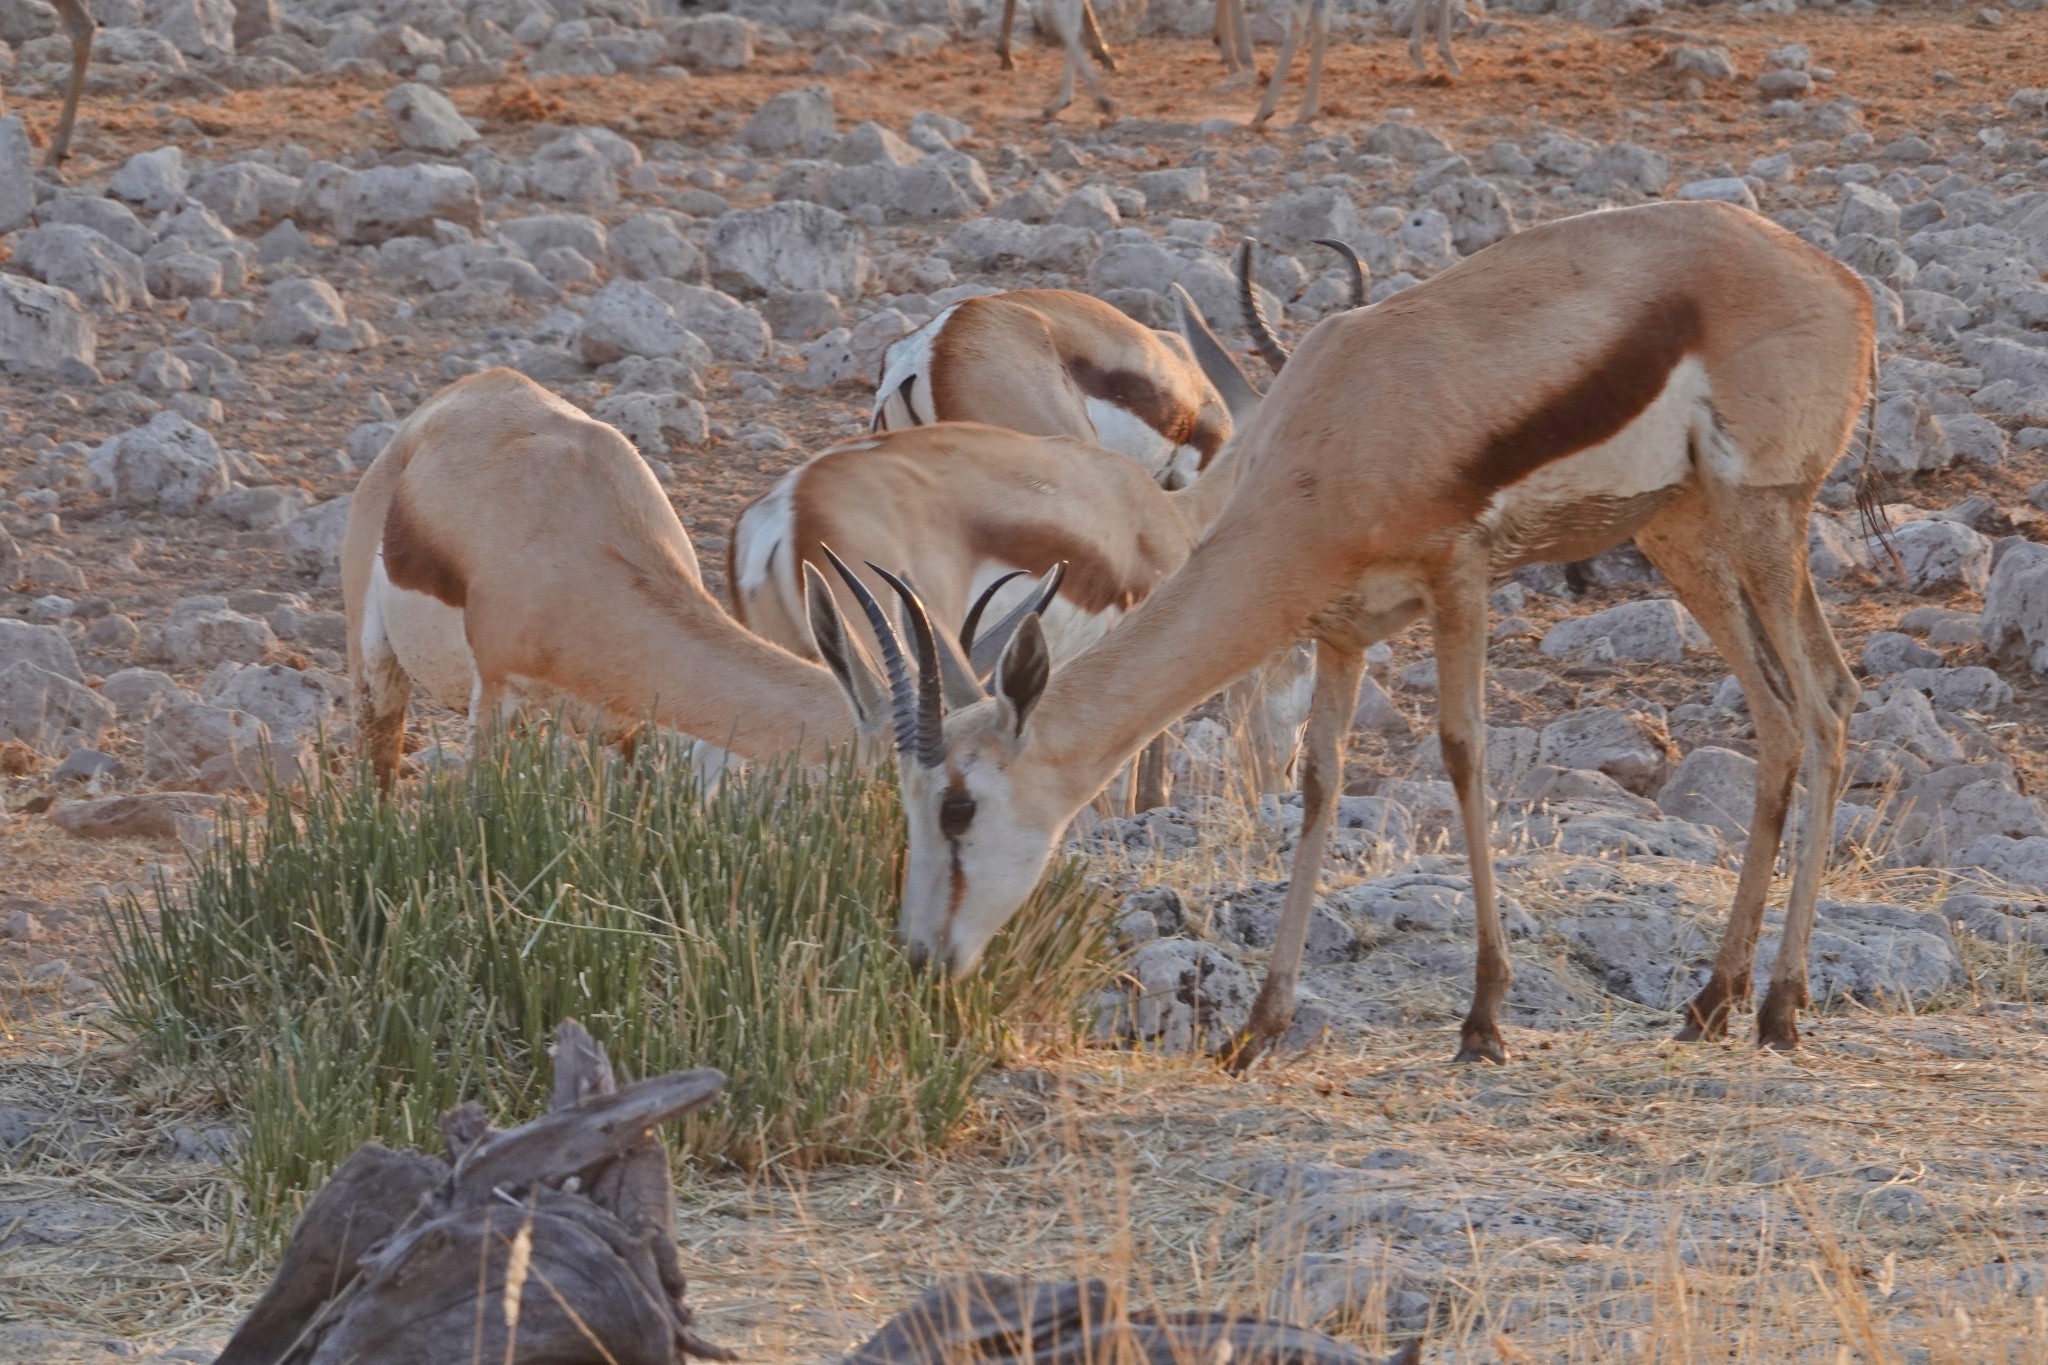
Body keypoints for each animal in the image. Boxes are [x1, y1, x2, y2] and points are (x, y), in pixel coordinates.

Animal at [806, 202, 1875, 1072]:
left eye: (958, 807)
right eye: (910, 805)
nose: (922, 955)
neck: (1336, 430)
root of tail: (1841, 281)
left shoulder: (1459, 579)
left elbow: (1463, 754)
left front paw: (1483, 1019)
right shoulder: (1344, 629)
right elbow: (1317, 782)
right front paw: (1256, 1027)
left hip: (1759, 515)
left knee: (1826, 704)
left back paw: (1780, 1008)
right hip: (1680, 530)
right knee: (1781, 716)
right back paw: (1711, 1000)